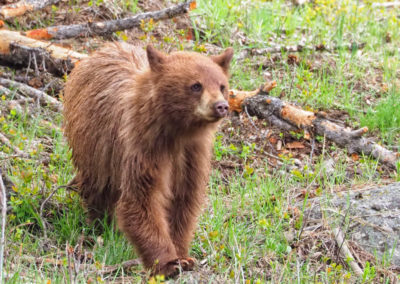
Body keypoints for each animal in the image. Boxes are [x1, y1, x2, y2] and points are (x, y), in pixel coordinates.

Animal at [63, 42, 233, 278]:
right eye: (196, 85)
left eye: (222, 85)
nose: (221, 106)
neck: (178, 132)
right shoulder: (143, 147)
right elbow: (142, 199)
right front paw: (168, 264)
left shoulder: (192, 156)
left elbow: (184, 201)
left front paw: (183, 256)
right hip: (93, 146)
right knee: (98, 186)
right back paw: (101, 224)